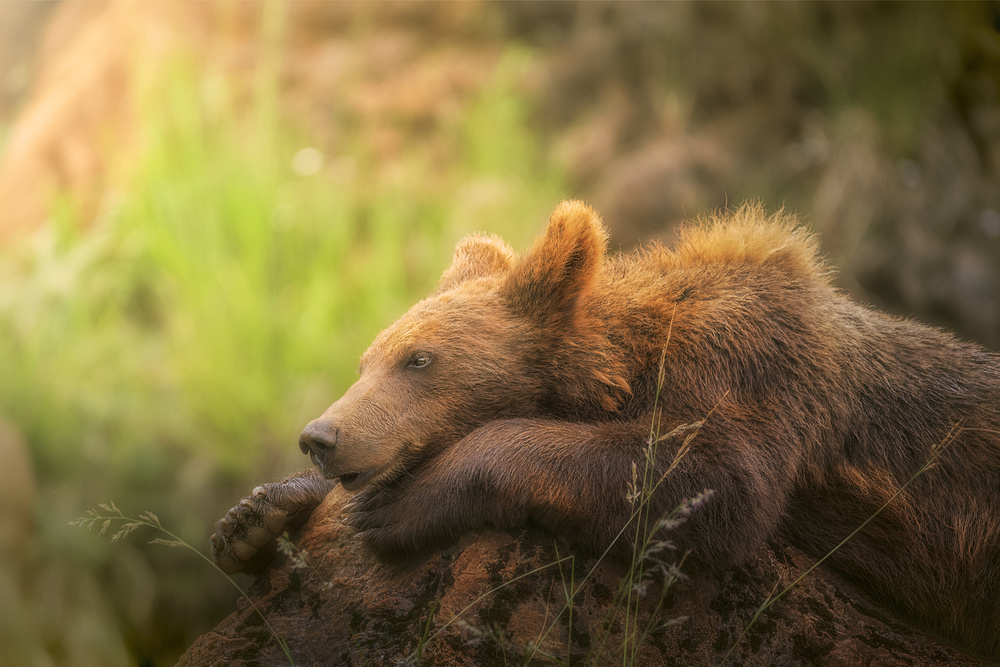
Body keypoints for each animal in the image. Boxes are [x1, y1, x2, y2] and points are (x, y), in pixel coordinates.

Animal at [210, 200, 1000, 657]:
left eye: (420, 359)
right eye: (365, 359)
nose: (322, 435)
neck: (630, 359)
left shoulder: (755, 370)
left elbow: (710, 478)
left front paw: (402, 503)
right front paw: (255, 517)